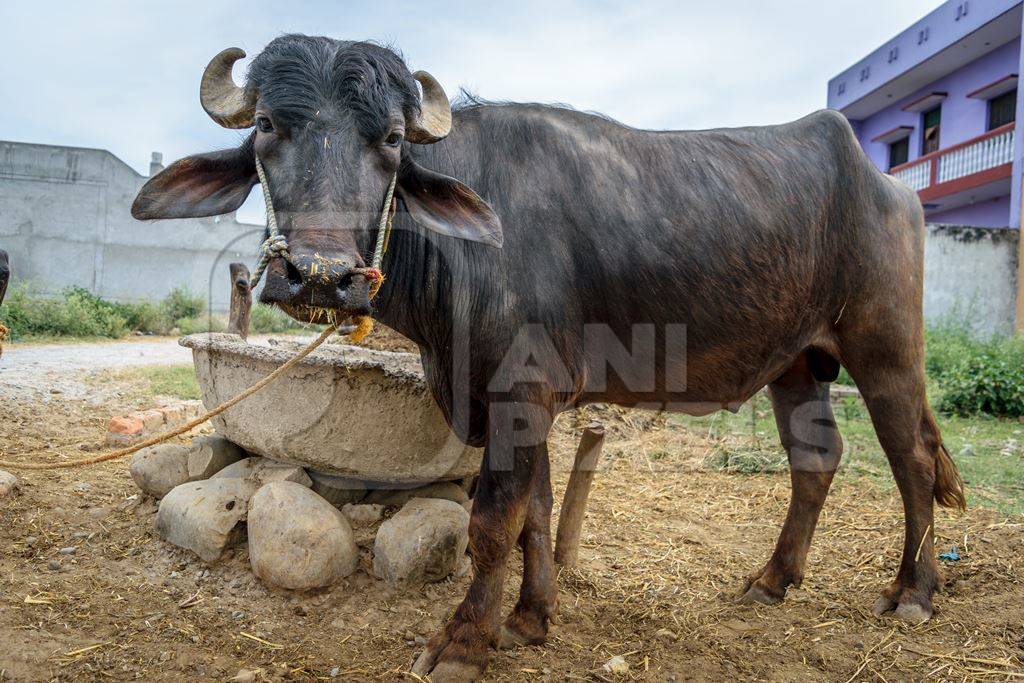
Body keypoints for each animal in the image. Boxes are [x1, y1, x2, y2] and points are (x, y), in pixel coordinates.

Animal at [132, 36, 962, 683]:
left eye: (391, 139)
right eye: (267, 125)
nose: (321, 274)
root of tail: (888, 185)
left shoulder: (519, 391)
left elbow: (494, 519)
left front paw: (464, 641)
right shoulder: (525, 403)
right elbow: (536, 509)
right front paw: (530, 618)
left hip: (885, 348)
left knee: (914, 459)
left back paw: (913, 592)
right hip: (795, 363)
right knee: (816, 461)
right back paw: (772, 578)